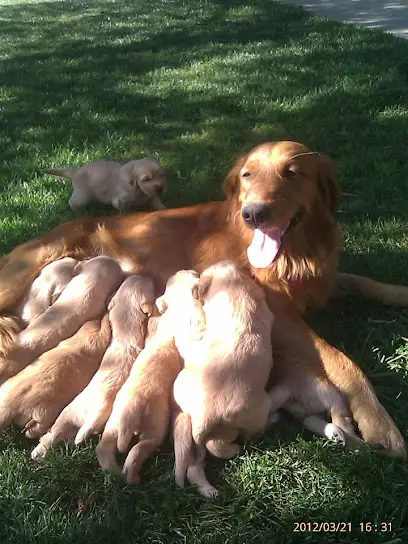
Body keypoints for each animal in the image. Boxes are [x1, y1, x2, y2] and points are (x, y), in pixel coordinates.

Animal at [31, 274, 155, 462]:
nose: (143, 274)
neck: (125, 326)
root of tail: (89, 416)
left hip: (67, 415)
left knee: (52, 435)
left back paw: (38, 452)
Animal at [96, 308, 181, 486]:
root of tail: (131, 411)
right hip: (155, 431)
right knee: (138, 451)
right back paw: (134, 479)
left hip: (113, 424)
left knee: (104, 448)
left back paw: (115, 472)